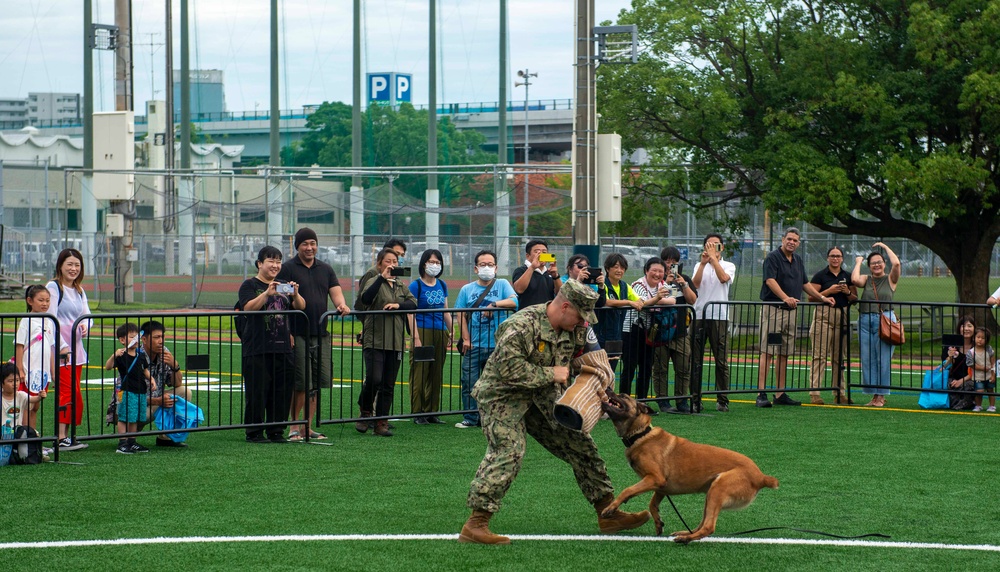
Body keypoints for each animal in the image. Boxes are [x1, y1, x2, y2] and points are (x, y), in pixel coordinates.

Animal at [596, 392, 776, 544]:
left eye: (623, 395)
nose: (609, 389)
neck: (641, 434)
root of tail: (761, 476)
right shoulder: (661, 487)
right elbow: (652, 504)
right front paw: (658, 522)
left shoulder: (655, 478)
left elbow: (628, 490)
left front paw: (610, 508)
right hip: (710, 494)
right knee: (703, 524)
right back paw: (685, 533)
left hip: (718, 489)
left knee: (709, 527)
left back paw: (686, 539)